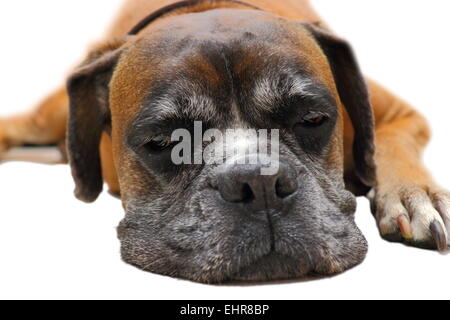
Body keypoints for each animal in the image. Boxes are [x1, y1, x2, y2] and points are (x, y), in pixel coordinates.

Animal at [0, 0, 450, 284]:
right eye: (162, 141)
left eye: (313, 120)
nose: (260, 182)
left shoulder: (401, 115)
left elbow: (391, 145)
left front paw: (414, 196)